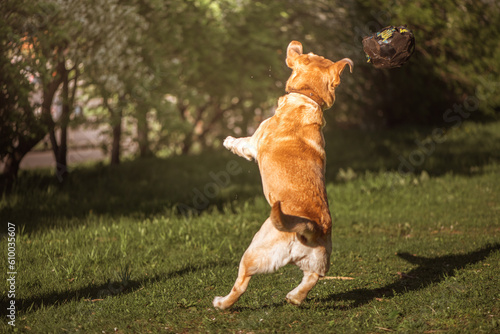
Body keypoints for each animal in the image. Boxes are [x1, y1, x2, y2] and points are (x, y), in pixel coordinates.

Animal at [213, 41, 354, 310]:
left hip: (253, 252)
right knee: (311, 280)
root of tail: (312, 227)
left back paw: (222, 303)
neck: (307, 97)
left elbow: (241, 143)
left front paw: (228, 141)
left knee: (241, 284)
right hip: (317, 263)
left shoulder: (253, 142)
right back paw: (294, 297)